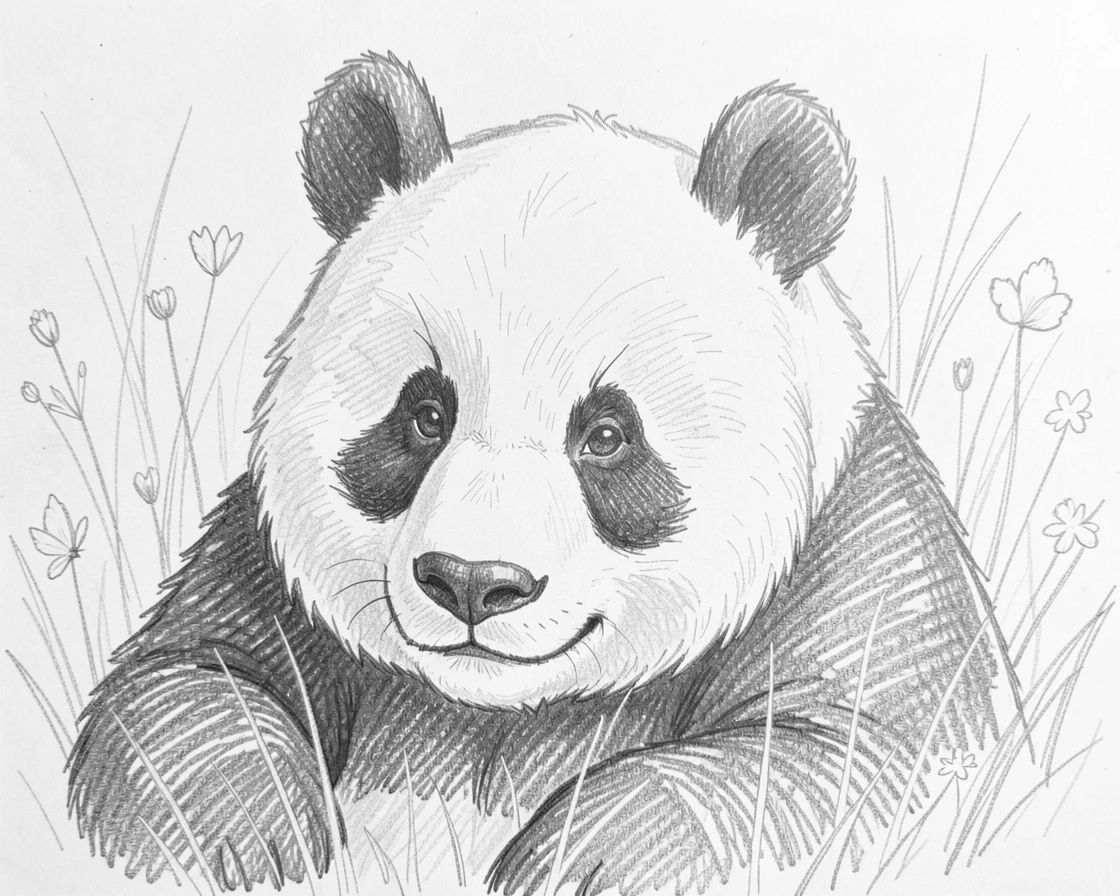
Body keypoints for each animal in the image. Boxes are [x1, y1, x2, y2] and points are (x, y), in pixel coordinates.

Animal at [68, 52, 1011, 895]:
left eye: (607, 436)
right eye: (425, 415)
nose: (472, 582)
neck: (501, 712)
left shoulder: (867, 559)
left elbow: (842, 757)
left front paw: (572, 863)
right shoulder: (260, 560)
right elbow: (187, 679)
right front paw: (247, 841)